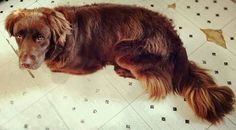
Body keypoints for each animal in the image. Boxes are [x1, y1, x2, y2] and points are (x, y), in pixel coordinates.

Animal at [5, 3, 234, 124]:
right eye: (19, 35)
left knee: (161, 81)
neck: (62, 40)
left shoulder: (86, 65)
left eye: (40, 38)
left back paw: (123, 71)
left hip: (123, 50)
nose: (24, 64)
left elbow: (55, 65)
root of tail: (175, 41)